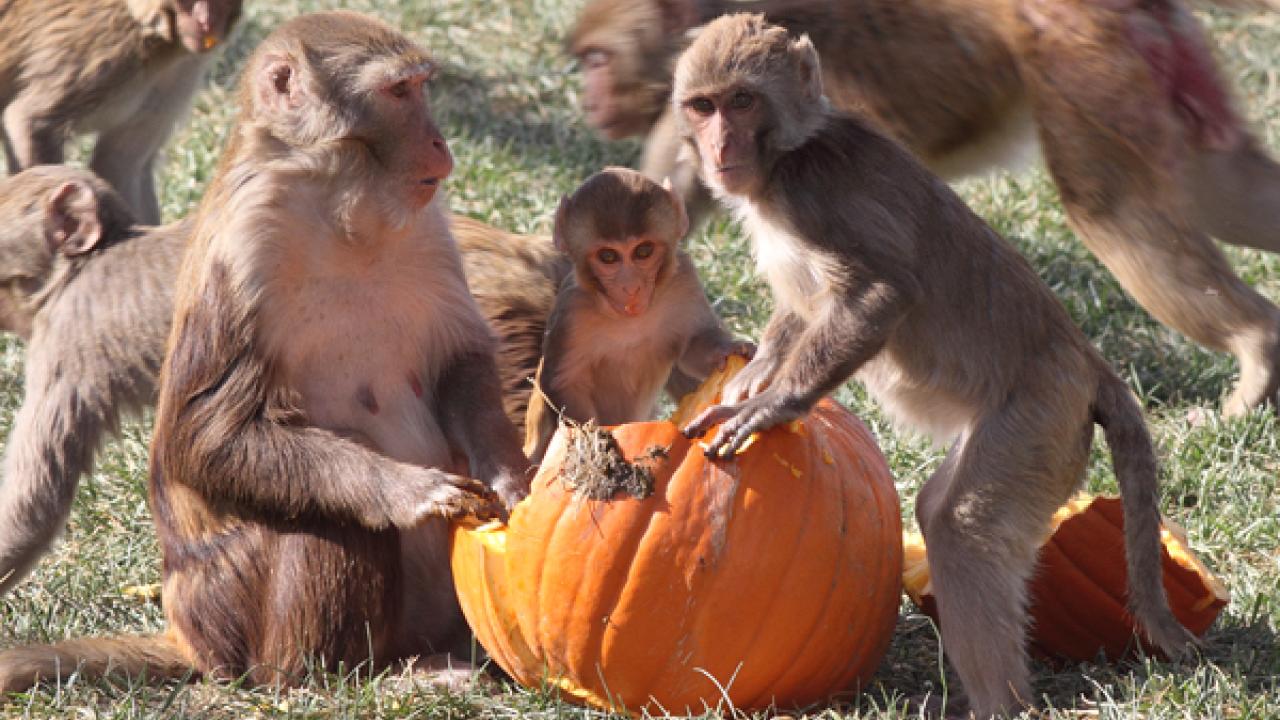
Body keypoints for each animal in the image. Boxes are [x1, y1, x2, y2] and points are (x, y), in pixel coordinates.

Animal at [0, 0, 243, 224]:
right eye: (188, 4)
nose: (205, 23)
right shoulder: (105, 47)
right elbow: (31, 122)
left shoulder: (182, 70)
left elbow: (120, 162)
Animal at [522, 167, 747, 458]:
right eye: (608, 256)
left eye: (643, 251)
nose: (630, 287)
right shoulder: (571, 309)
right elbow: (564, 382)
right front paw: (595, 445)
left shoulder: (684, 280)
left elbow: (692, 346)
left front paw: (725, 349)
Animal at [570, 0, 1280, 415]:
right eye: (704, 107)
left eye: (741, 103)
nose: (593, 101)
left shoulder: (819, 158)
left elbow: (879, 279)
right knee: (1216, 188)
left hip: (1086, 73)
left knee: (1110, 209)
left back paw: (1256, 346)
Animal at [680, 14, 1198, 712]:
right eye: (703, 106)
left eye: (742, 101)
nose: (719, 145)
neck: (788, 154)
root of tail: (1087, 359)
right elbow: (803, 305)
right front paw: (756, 374)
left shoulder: (812, 195)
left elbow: (882, 295)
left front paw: (772, 404)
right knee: (943, 510)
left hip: (1039, 415)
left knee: (960, 527)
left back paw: (1005, 706)